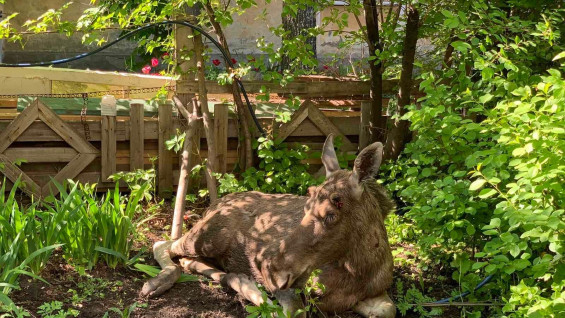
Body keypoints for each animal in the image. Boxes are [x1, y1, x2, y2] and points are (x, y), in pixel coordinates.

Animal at [143, 135, 394, 316]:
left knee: (188, 260)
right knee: (162, 244)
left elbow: (388, 310)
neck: (359, 269)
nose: (273, 268)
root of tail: (213, 205)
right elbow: (293, 311)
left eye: (331, 213)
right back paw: (157, 283)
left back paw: (236, 277)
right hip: (208, 237)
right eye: (306, 203)